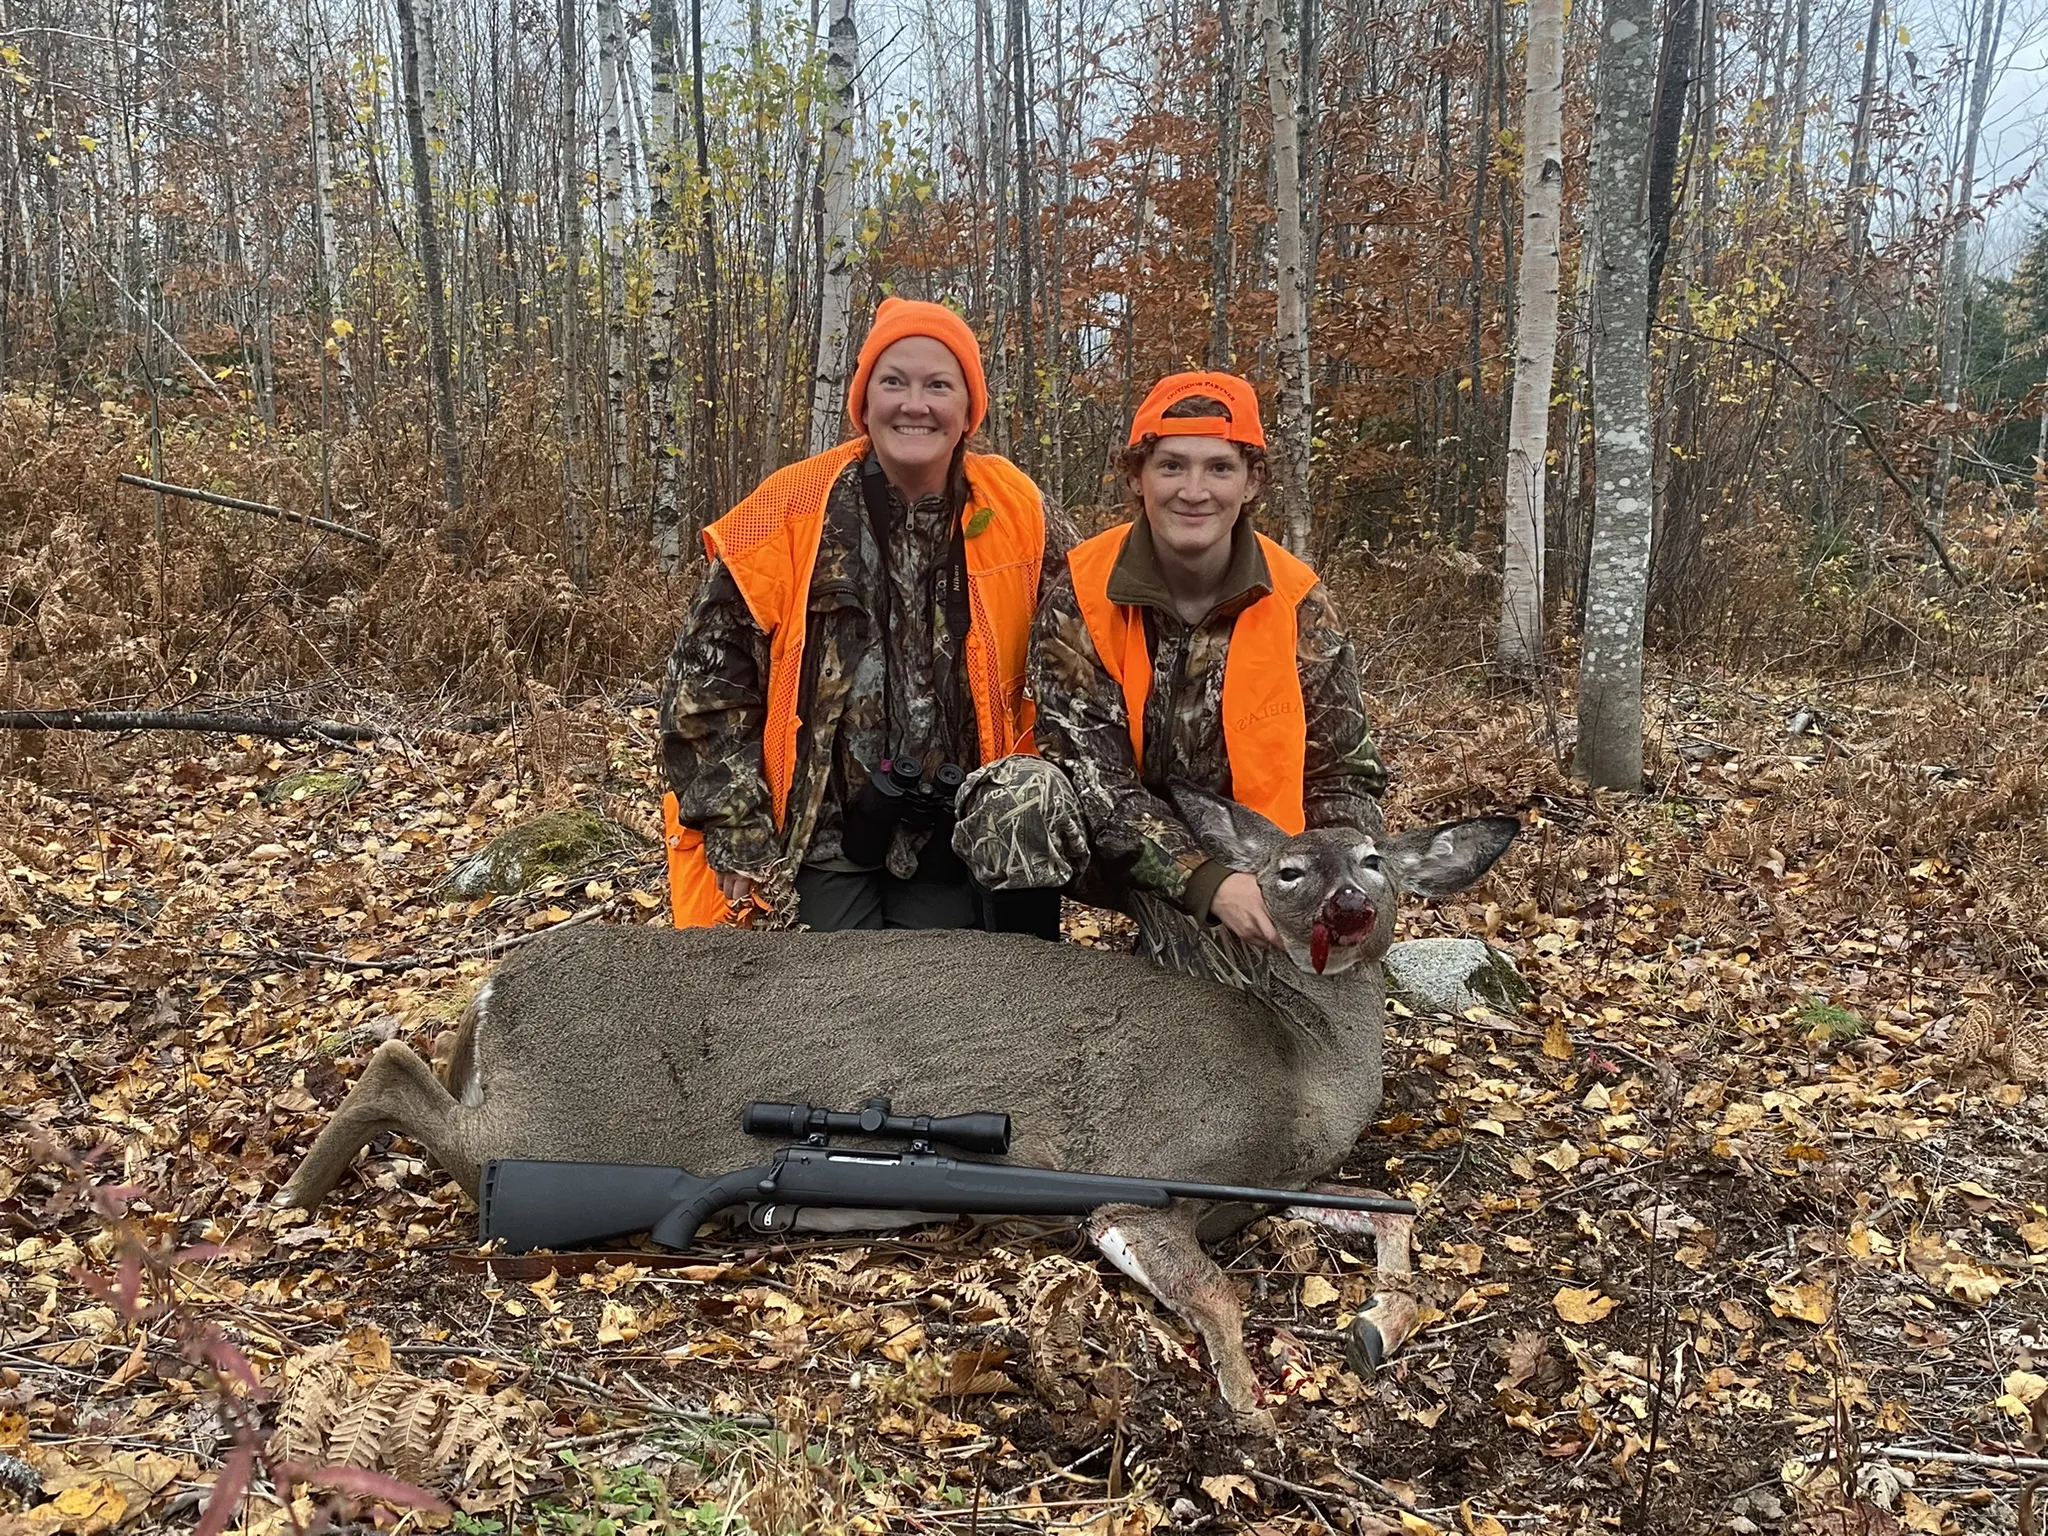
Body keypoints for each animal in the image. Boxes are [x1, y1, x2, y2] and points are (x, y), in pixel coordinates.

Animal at [280, 785, 1518, 1420]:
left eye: (1375, 857)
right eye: (1289, 870)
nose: (1349, 899)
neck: (1298, 1071)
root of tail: (495, 987)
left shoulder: (1258, 1183)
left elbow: (1395, 1218)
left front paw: (1373, 1324)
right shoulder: (1146, 1171)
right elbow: (1216, 1295)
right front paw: (1251, 1408)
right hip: (547, 1129)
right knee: (395, 1069)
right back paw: (295, 1193)